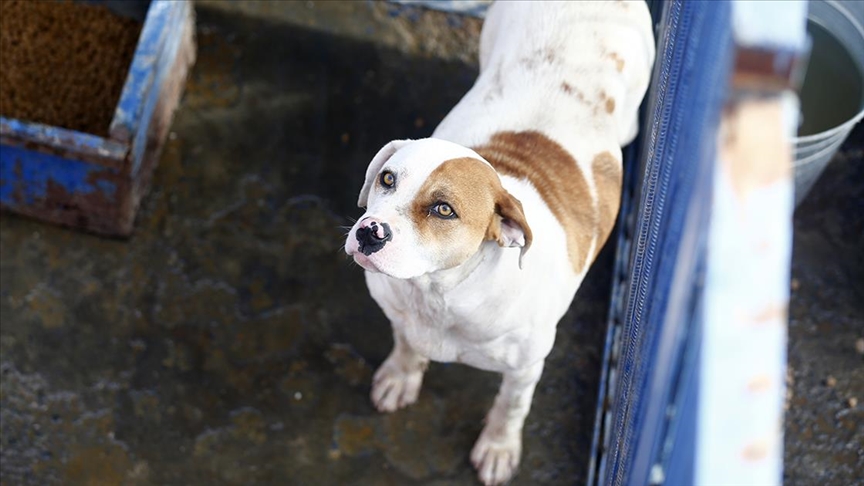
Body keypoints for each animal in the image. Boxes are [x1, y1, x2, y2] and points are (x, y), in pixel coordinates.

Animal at [344, 1, 656, 484]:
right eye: (387, 179)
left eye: (443, 209)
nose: (369, 231)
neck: (439, 292)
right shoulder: (400, 313)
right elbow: (406, 344)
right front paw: (401, 376)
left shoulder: (526, 367)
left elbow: (511, 408)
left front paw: (497, 448)